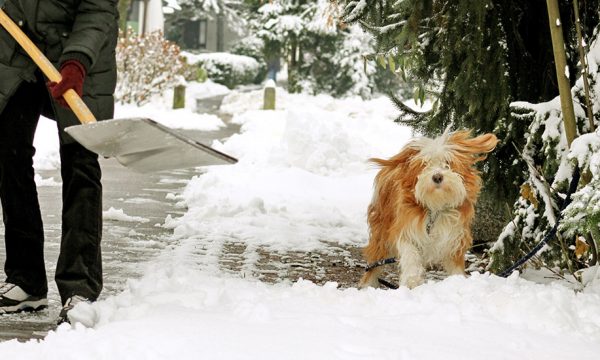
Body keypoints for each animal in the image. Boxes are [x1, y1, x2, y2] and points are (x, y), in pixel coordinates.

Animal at [360, 131, 496, 288]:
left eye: (447, 162)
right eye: (425, 164)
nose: (437, 176)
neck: (435, 209)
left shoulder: (455, 237)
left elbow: (455, 265)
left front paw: (457, 281)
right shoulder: (406, 229)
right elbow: (411, 255)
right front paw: (412, 281)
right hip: (381, 232)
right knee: (373, 263)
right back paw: (367, 285)